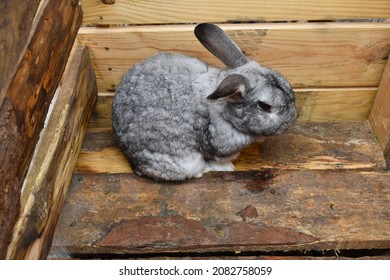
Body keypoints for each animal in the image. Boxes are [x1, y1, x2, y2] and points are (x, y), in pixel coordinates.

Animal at [111, 23, 298, 180]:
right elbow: (217, 160)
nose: (292, 119)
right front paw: (228, 168)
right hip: (182, 162)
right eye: (264, 106)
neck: (225, 110)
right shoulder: (217, 148)